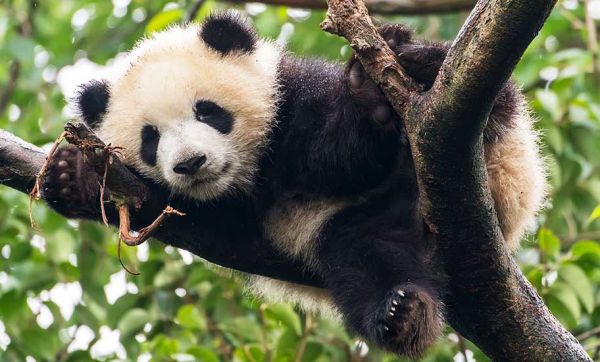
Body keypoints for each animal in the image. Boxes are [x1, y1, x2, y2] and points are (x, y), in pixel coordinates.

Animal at [43, 11, 548, 356]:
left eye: (208, 111)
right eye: (151, 139)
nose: (190, 163)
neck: (253, 169)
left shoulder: (294, 97)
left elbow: (346, 154)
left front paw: (368, 90)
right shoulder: (229, 217)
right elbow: (201, 219)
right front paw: (73, 174)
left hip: (498, 149)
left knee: (457, 83)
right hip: (357, 224)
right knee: (370, 255)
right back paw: (403, 314)